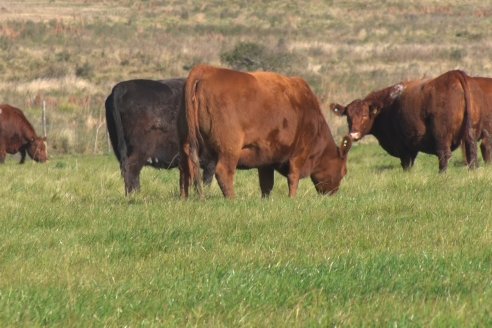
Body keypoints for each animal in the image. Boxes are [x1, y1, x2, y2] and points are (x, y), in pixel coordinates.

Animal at [179, 63, 352, 197]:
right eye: (344, 171)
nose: (332, 194)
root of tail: (208, 69)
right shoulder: (299, 154)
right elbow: (293, 178)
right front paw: (292, 199)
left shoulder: (266, 158)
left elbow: (267, 184)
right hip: (229, 148)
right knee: (224, 172)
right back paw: (232, 199)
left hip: (189, 143)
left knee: (186, 166)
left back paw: (185, 197)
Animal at [328, 69, 482, 172]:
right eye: (348, 117)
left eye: (365, 115)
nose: (353, 134)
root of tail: (454, 75)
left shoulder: (403, 147)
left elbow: (406, 164)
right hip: (470, 133)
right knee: (472, 153)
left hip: (442, 134)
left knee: (444, 155)